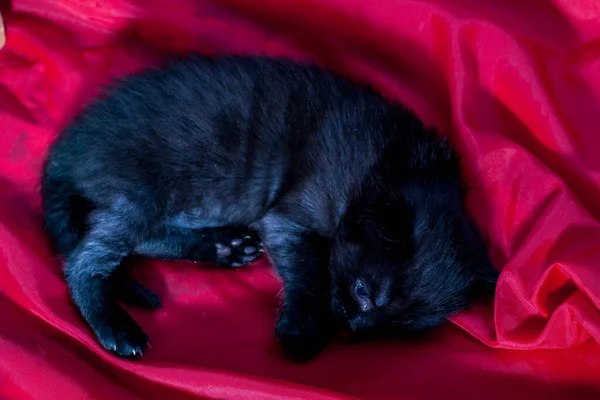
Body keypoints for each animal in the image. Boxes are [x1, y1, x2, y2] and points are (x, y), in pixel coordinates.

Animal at [39, 54, 494, 362]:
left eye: (394, 329)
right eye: (364, 294)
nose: (351, 326)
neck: (390, 161)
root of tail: (67, 147)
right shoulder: (289, 216)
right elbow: (310, 269)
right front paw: (304, 328)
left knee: (135, 237)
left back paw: (221, 247)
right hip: (144, 190)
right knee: (85, 259)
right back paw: (116, 325)